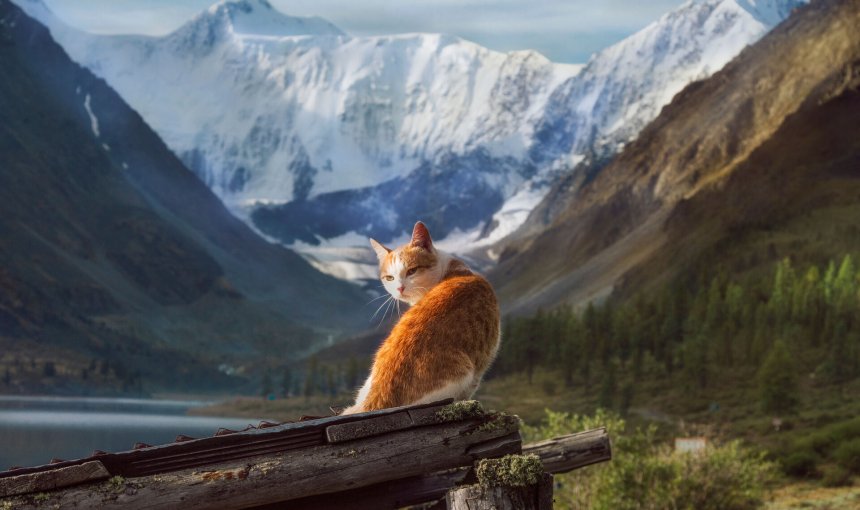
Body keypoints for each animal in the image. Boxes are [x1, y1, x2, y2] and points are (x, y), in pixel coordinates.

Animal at [340, 223, 504, 414]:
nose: (400, 288)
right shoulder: (480, 368)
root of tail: (376, 398)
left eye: (412, 271)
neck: (451, 269)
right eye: (390, 278)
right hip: (465, 374)